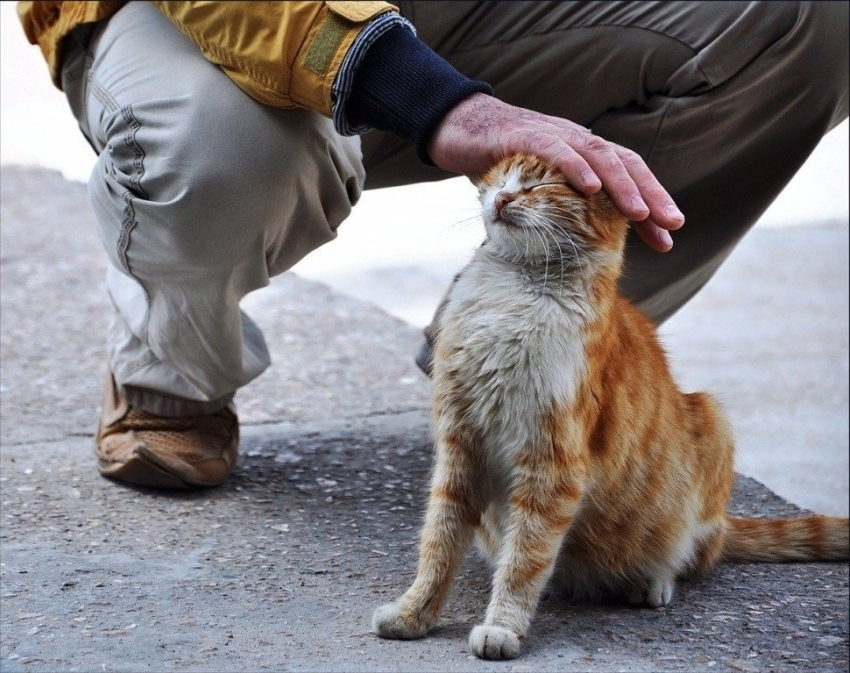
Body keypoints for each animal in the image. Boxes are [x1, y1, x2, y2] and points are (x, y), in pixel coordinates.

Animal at [372, 154, 848, 660]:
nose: (502, 198)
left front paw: (501, 627)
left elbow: (524, 560)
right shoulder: (460, 449)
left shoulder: (552, 466)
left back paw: (651, 581)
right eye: (502, 178)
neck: (511, 294)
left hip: (711, 422)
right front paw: (414, 613)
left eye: (543, 184)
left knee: (697, 550)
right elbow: (439, 544)